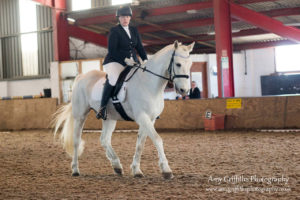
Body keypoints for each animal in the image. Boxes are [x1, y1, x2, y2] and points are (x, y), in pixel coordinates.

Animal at [53, 41, 195, 180]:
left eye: (190, 64)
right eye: (178, 64)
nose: (184, 90)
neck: (148, 83)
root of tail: (81, 76)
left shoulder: (150, 119)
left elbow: (140, 144)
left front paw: (136, 170)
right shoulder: (142, 117)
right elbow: (157, 139)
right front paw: (166, 170)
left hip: (109, 118)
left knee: (104, 139)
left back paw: (117, 165)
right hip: (80, 116)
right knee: (76, 140)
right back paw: (75, 169)